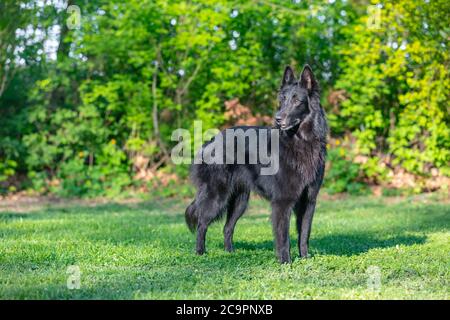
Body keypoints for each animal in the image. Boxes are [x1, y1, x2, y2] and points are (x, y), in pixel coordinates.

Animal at [185, 64, 328, 262]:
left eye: (296, 101)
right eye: (282, 100)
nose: (277, 118)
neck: (301, 141)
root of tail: (211, 140)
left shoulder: (308, 201)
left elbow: (304, 234)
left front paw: (305, 259)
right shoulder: (282, 202)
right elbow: (284, 238)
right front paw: (285, 262)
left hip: (240, 201)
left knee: (227, 227)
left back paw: (230, 253)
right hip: (217, 196)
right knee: (201, 223)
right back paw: (200, 253)